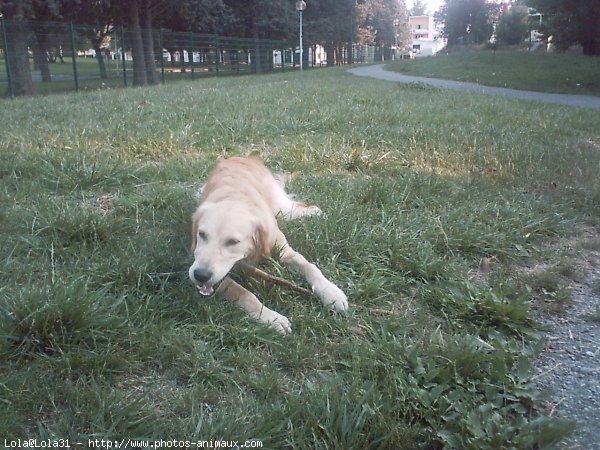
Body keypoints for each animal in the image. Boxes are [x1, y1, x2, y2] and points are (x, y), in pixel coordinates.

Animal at [188, 156, 346, 334]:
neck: (235, 198)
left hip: (280, 207)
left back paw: (314, 212)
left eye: (233, 242)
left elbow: (310, 267)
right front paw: (271, 318)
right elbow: (244, 293)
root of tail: (243, 157)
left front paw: (331, 292)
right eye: (202, 234)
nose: (200, 275)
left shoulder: (284, 250)